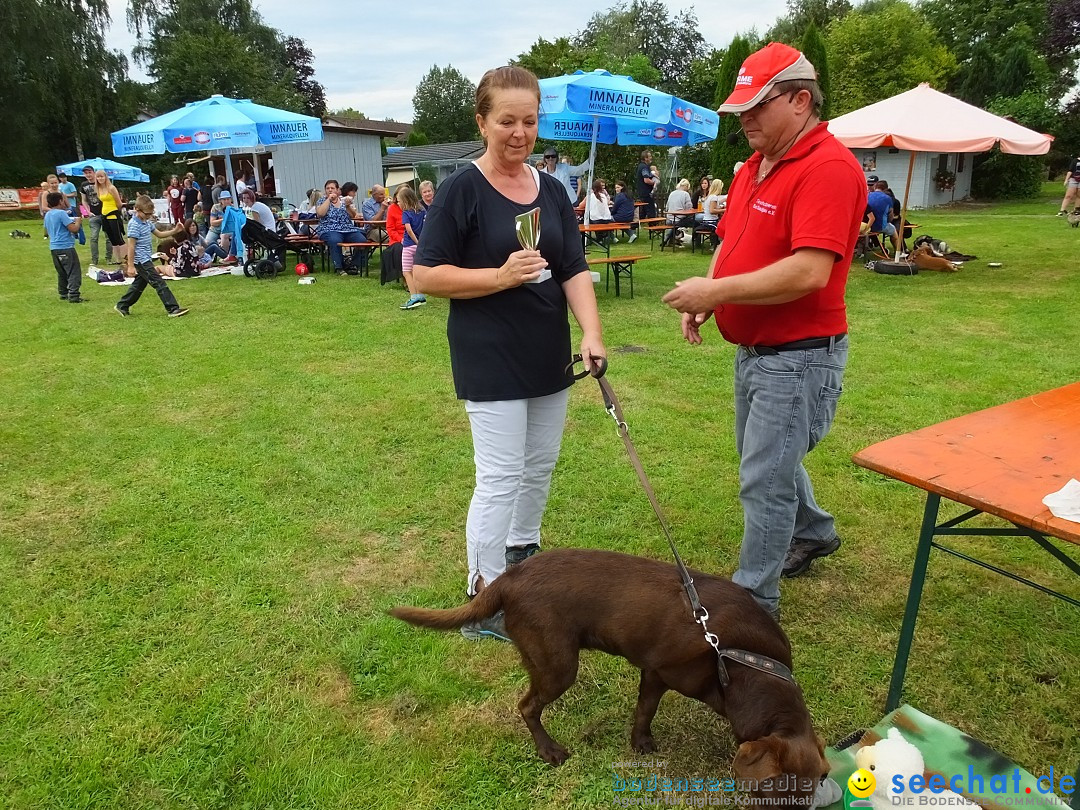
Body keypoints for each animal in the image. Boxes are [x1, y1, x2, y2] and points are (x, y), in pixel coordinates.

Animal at [393, 548, 829, 807]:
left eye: (804, 802)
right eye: (771, 794)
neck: (744, 659)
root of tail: (507, 579)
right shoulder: (657, 672)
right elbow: (645, 711)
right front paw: (641, 744)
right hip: (558, 665)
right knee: (527, 705)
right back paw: (549, 751)